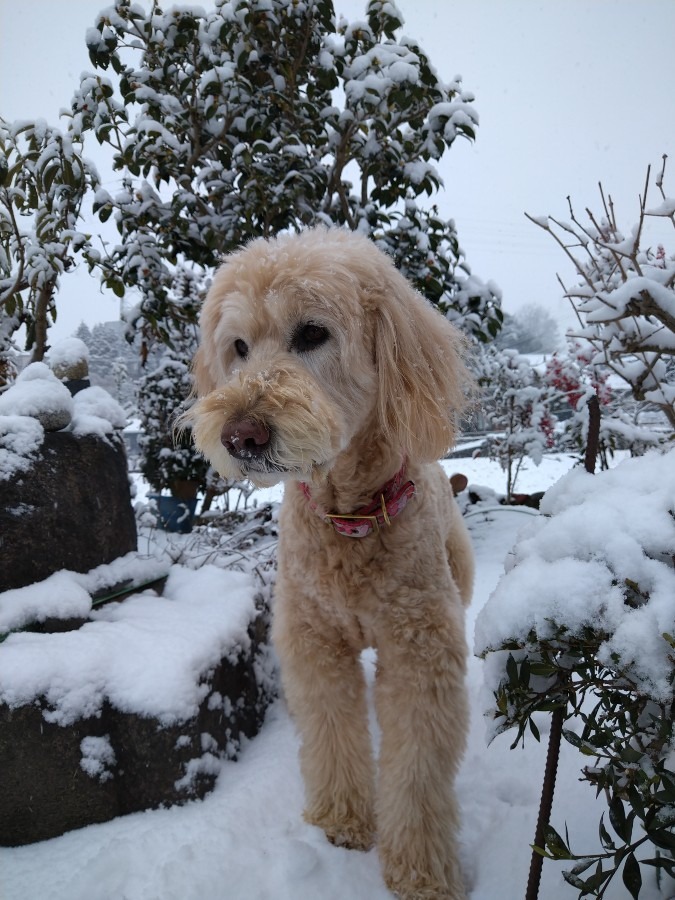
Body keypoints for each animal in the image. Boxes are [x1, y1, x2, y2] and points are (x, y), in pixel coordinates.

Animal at [182, 229, 472, 896]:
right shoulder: (312, 641)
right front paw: (342, 823)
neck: (349, 519)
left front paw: (420, 871)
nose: (240, 436)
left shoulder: (420, 649)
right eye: (238, 347)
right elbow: (333, 732)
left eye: (312, 333)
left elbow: (417, 768)